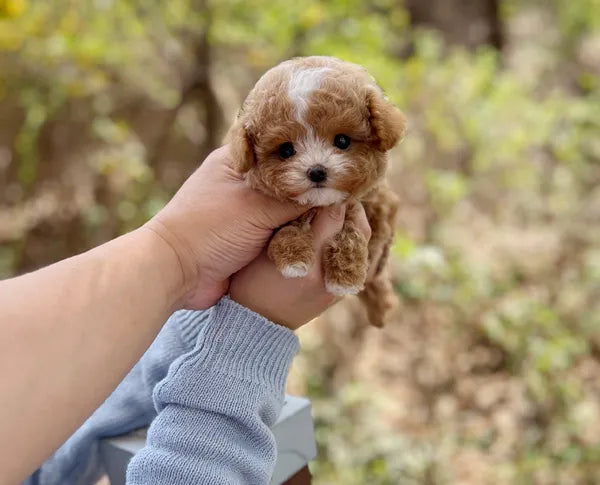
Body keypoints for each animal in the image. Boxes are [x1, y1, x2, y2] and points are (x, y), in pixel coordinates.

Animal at [227, 57, 406, 328]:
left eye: (342, 141)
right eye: (286, 150)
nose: (317, 171)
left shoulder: (368, 205)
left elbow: (353, 231)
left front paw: (346, 276)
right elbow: (289, 228)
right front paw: (293, 259)